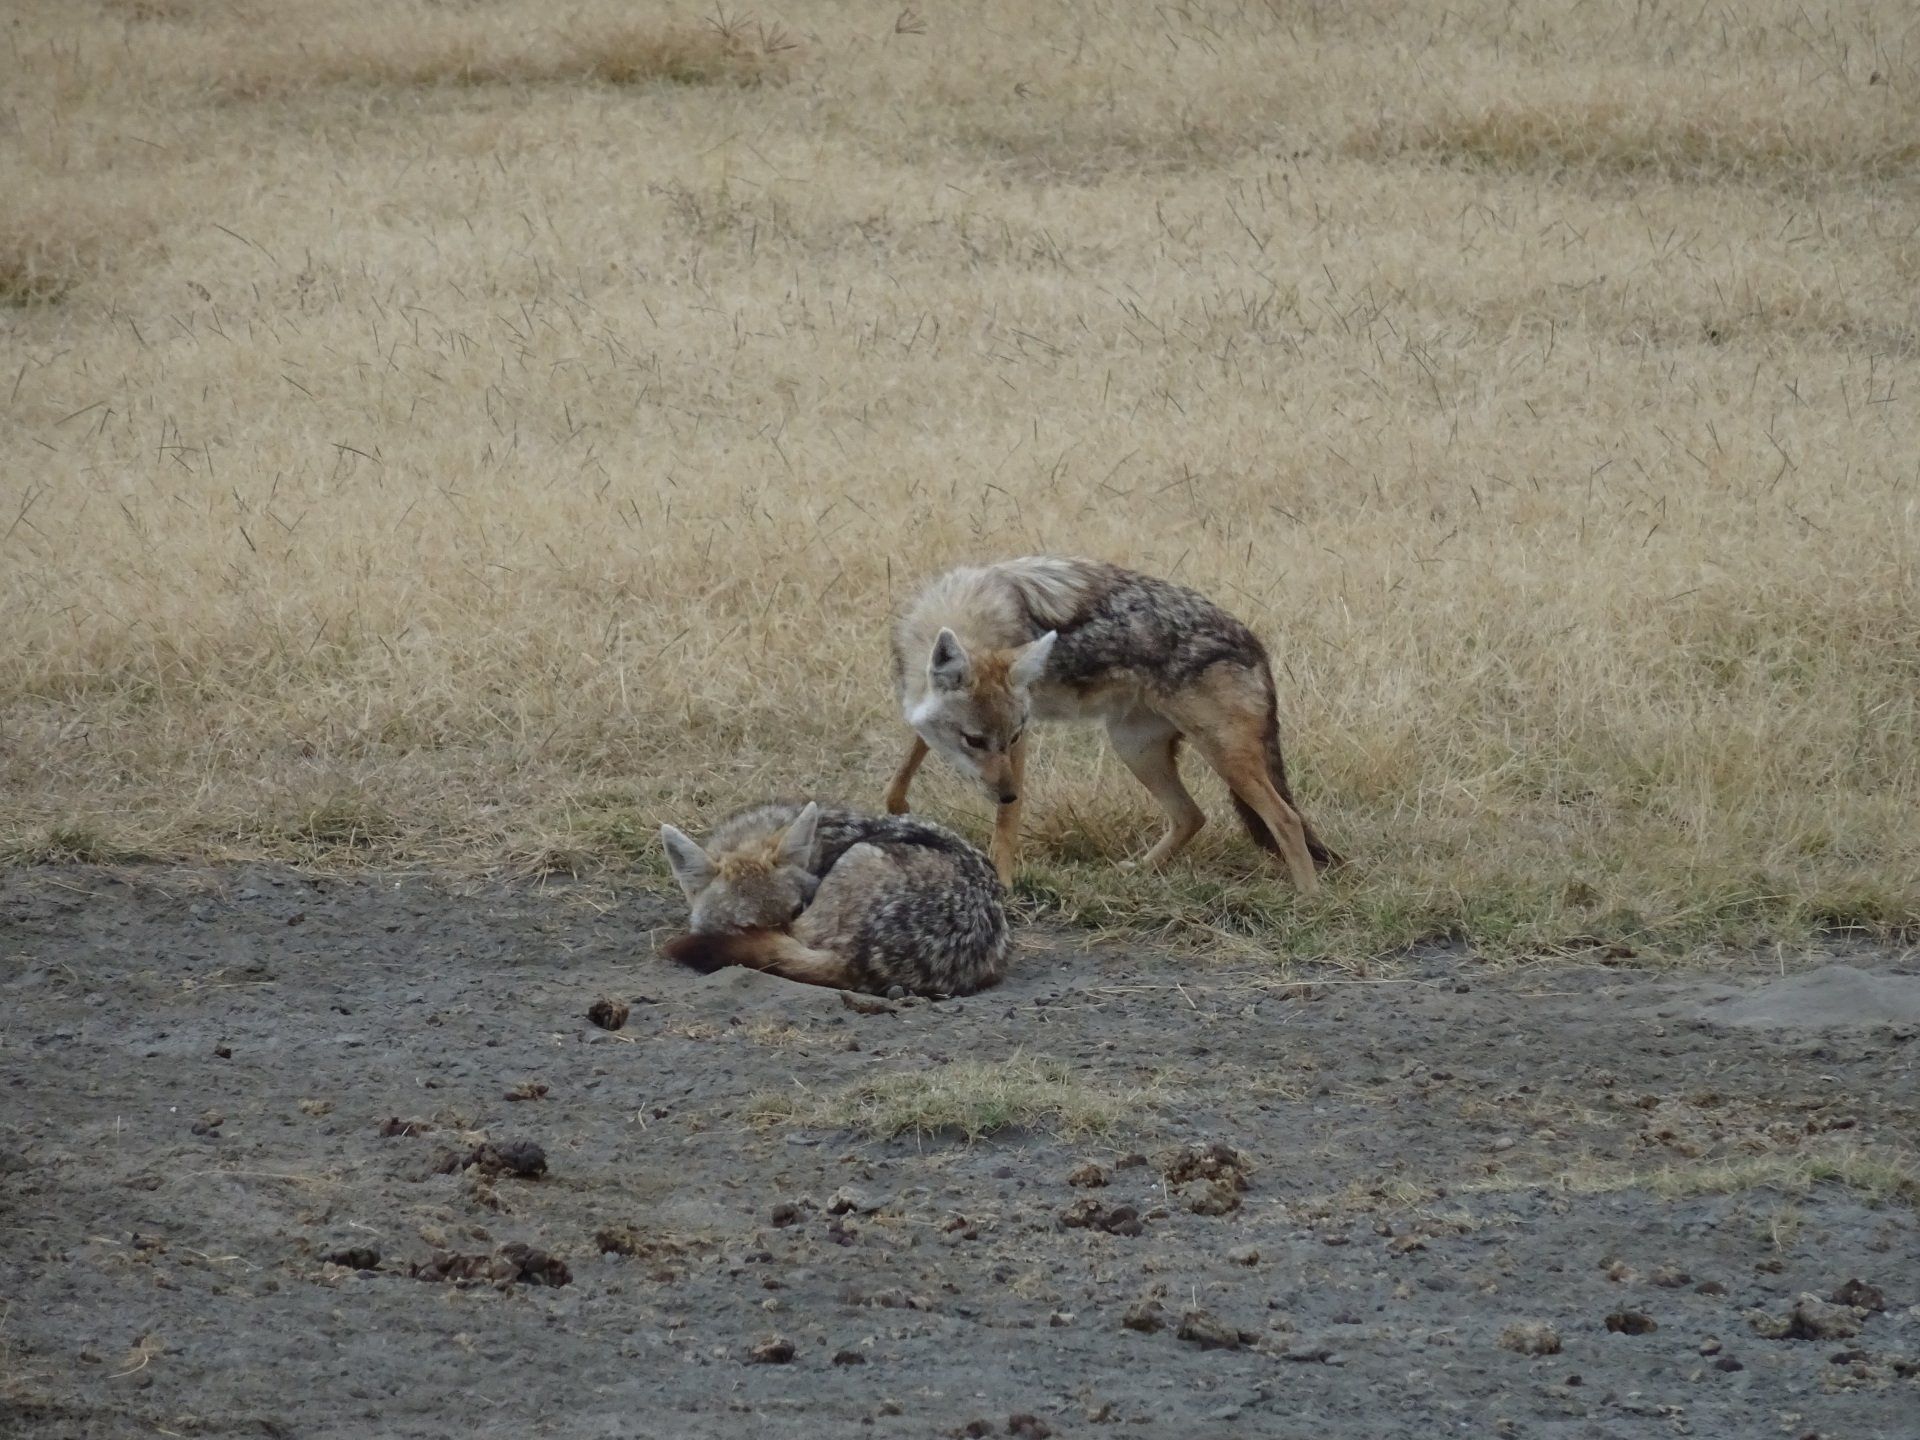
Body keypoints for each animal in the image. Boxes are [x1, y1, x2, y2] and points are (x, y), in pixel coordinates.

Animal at [885, 556, 1343, 891]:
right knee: (1192, 816)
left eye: (1010, 737)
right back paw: (1140, 870)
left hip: (1223, 758)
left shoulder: (1022, 739)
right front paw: (898, 808)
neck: (967, 611)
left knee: (1286, 820)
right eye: (974, 741)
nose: (1009, 793)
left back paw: (1308, 898)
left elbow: (1005, 825)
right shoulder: (922, 711)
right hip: (1135, 749)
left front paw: (1002, 881)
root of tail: (1255, 643)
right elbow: (907, 761)